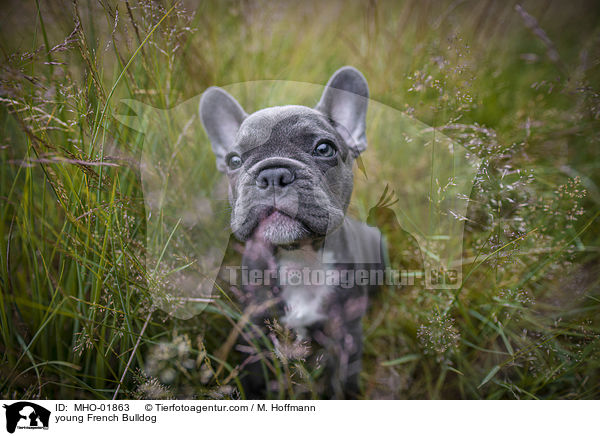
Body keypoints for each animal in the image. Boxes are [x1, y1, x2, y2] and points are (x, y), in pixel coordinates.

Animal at [199, 67, 382, 398]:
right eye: (234, 160)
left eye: (324, 148)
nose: (273, 174)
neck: (300, 257)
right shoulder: (257, 325)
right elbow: (255, 372)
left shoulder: (346, 335)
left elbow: (342, 382)